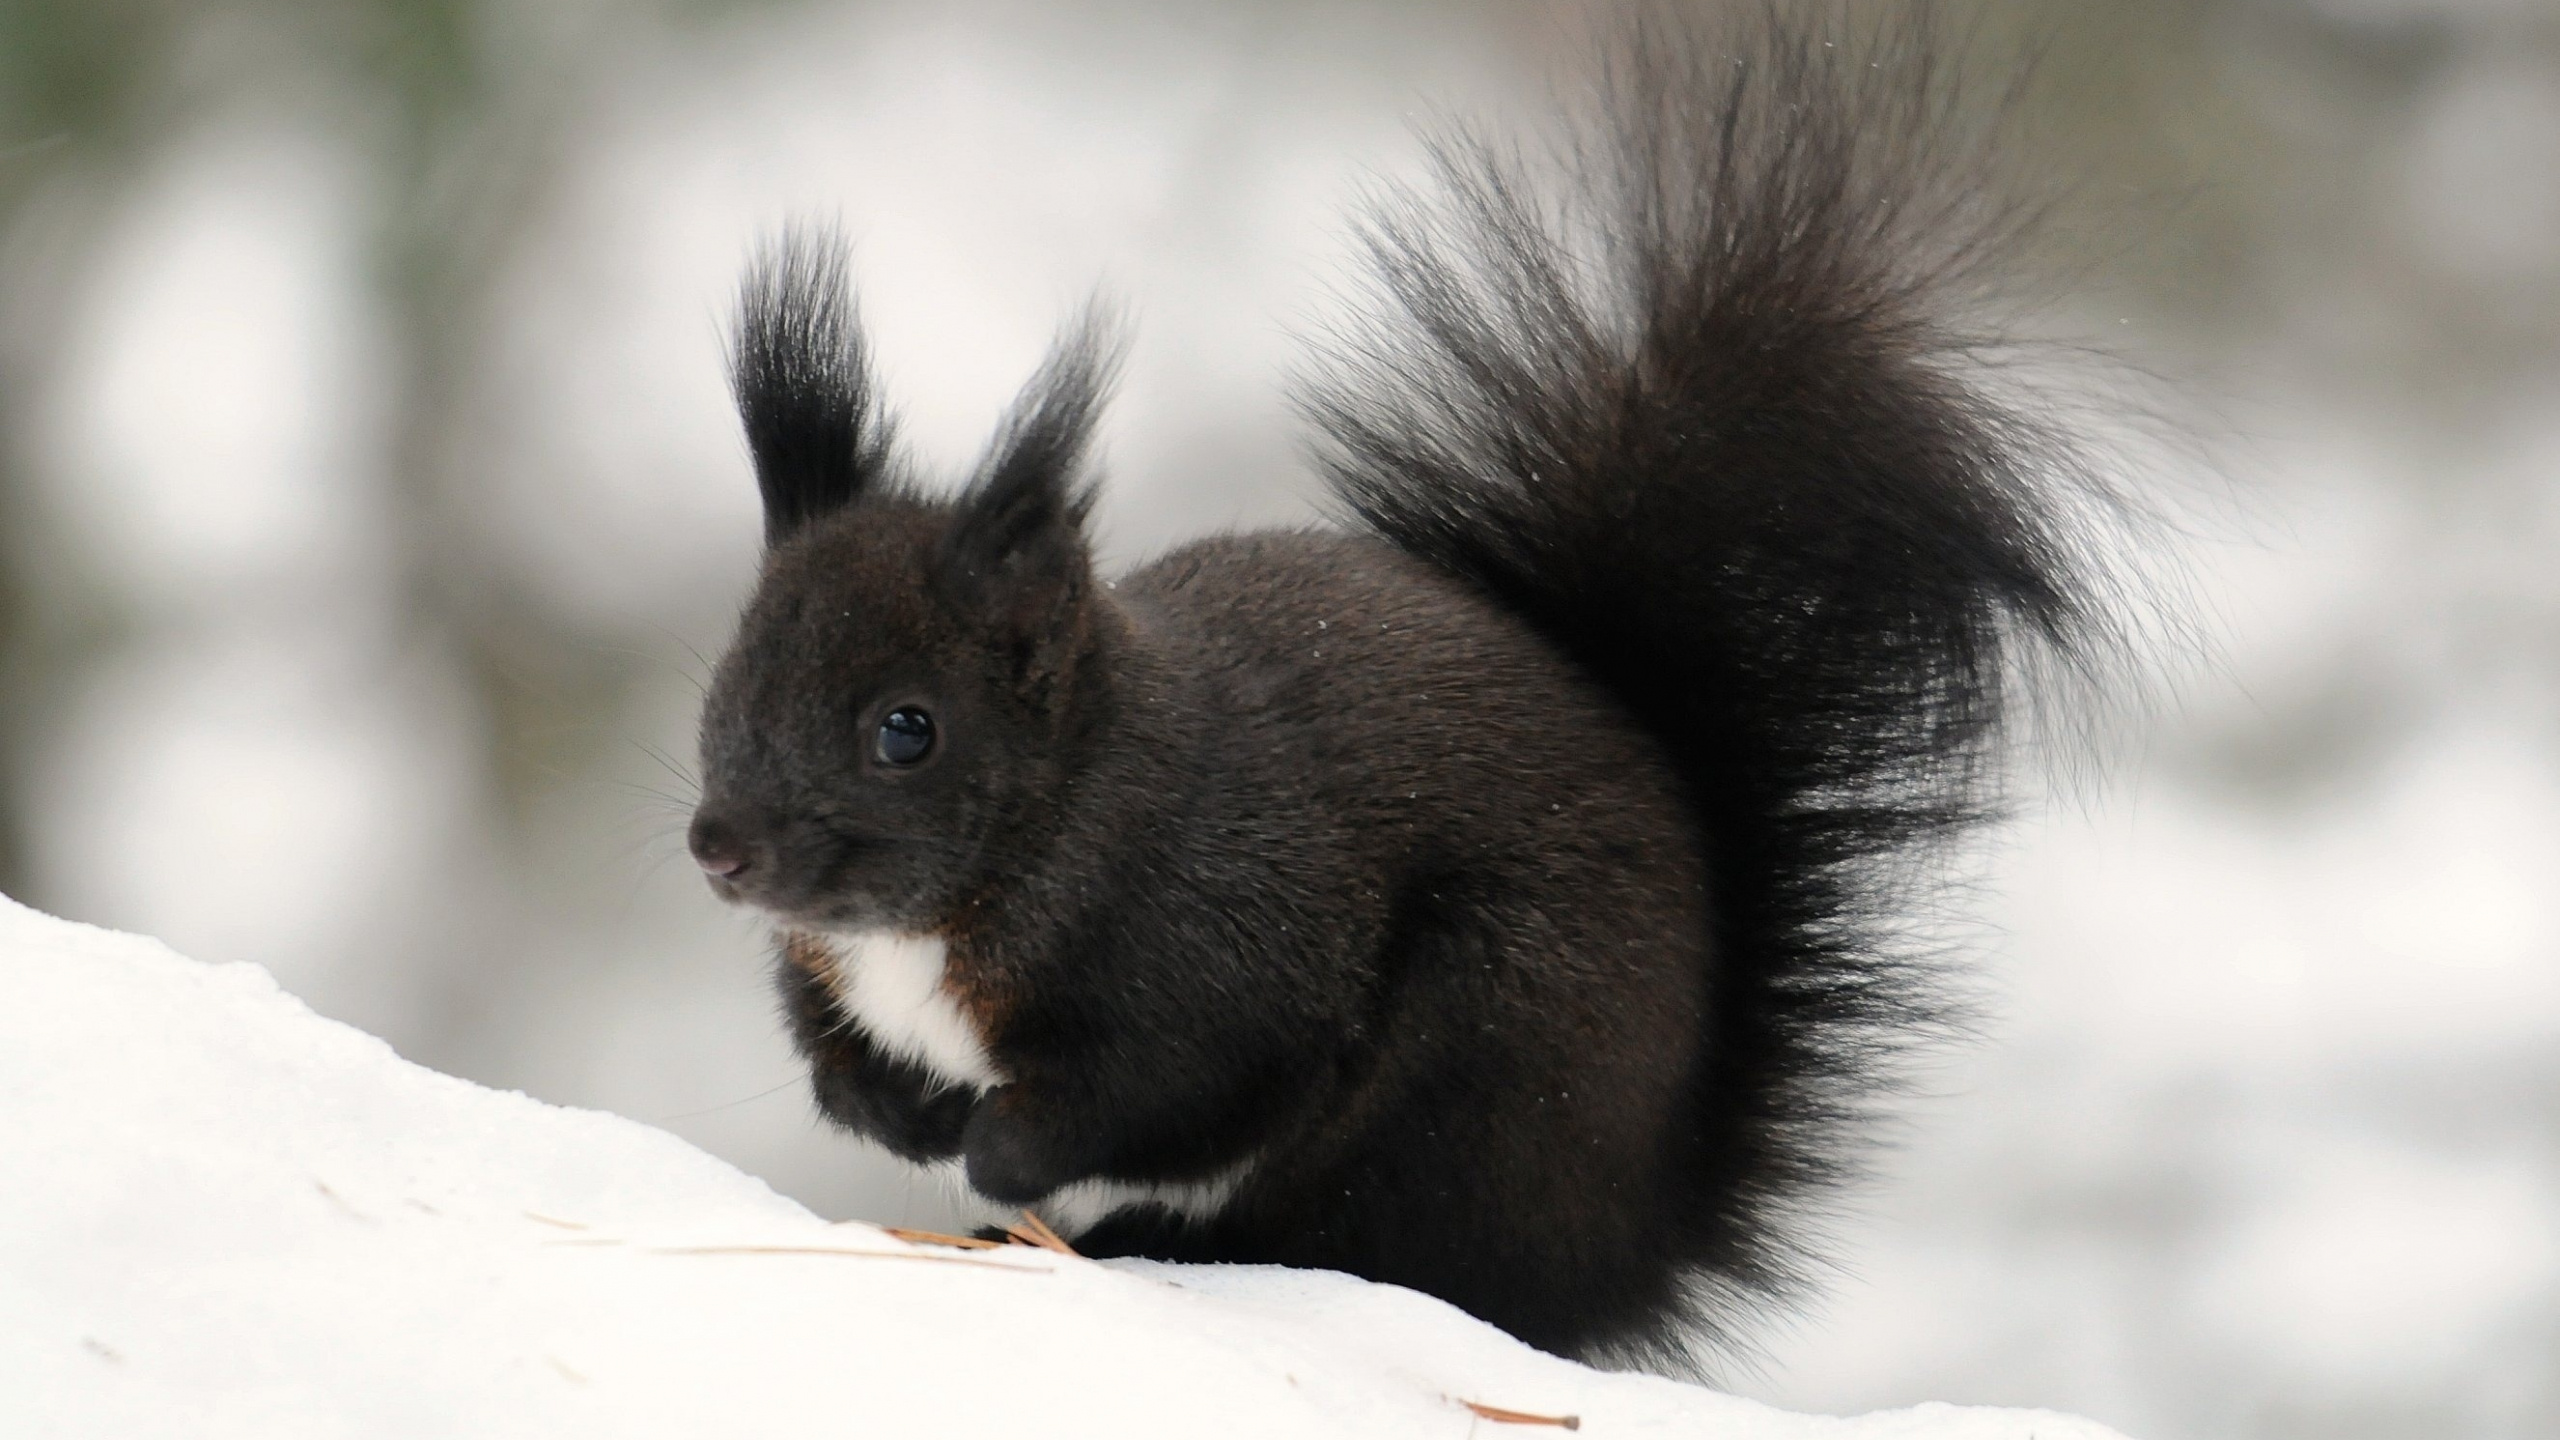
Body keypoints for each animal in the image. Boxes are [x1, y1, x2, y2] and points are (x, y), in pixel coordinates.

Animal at [686, 5, 2143, 1369]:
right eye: (729, 681)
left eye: (906, 730)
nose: (720, 851)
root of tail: (1630, 1241)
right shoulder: (835, 975)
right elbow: (836, 1062)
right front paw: (900, 1114)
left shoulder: (1218, 949)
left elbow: (1160, 1095)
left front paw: (992, 1150)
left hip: (1476, 1062)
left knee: (1362, 1238)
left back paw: (1138, 1237)